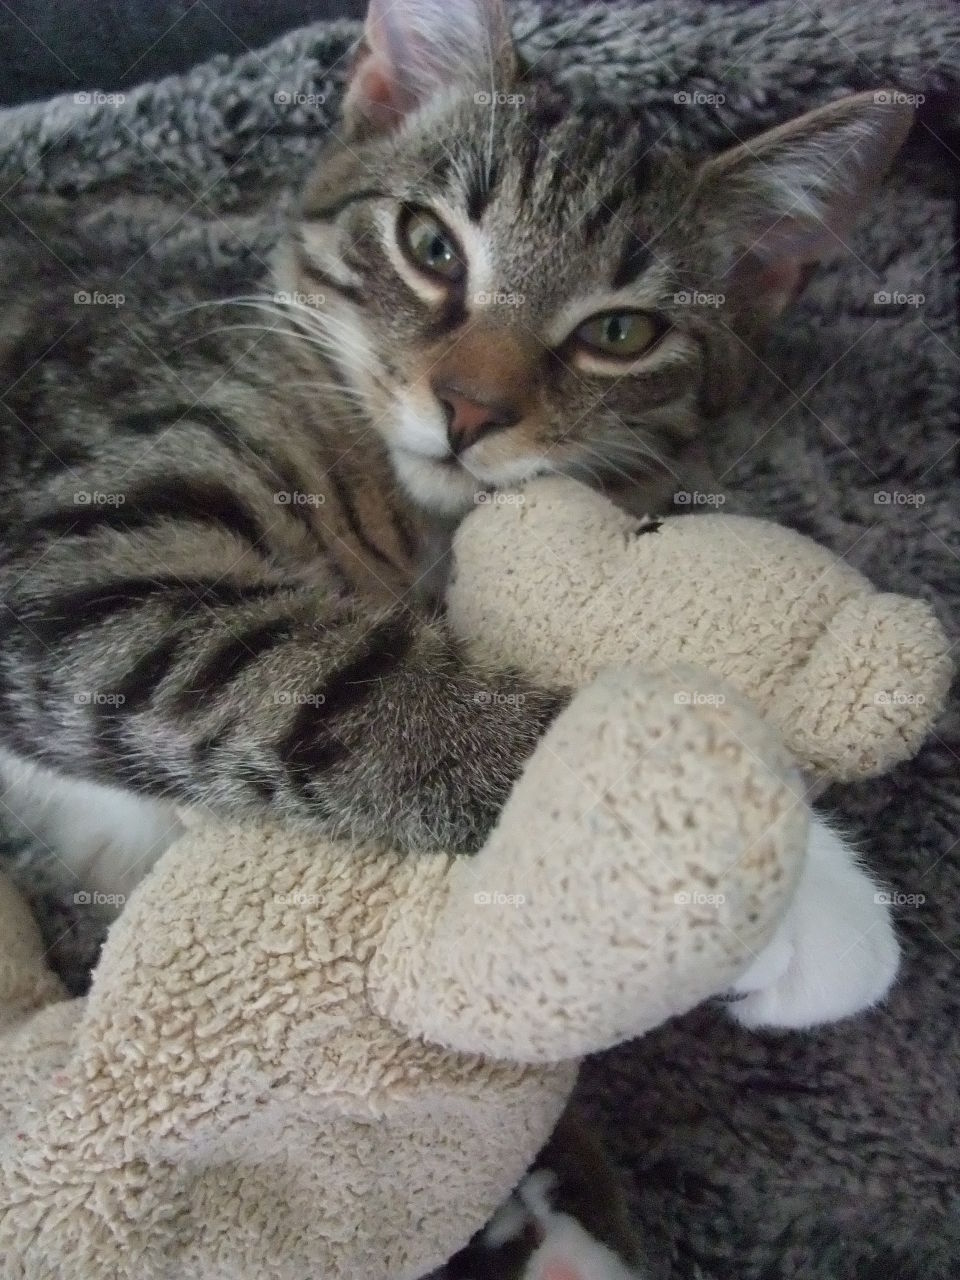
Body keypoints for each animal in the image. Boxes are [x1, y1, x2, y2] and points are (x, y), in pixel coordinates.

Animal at [0, 5, 911, 916]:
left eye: (620, 333)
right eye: (431, 246)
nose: (472, 409)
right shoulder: (72, 552)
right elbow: (333, 676)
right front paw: (744, 850)